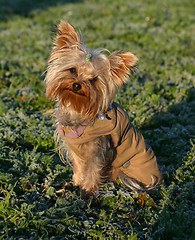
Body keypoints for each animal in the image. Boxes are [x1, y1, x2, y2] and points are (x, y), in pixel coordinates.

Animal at [44, 21, 163, 195]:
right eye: (72, 70)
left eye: (93, 80)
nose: (77, 84)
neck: (78, 109)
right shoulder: (75, 149)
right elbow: (79, 166)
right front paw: (77, 183)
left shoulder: (98, 151)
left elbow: (93, 170)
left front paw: (86, 191)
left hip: (127, 174)